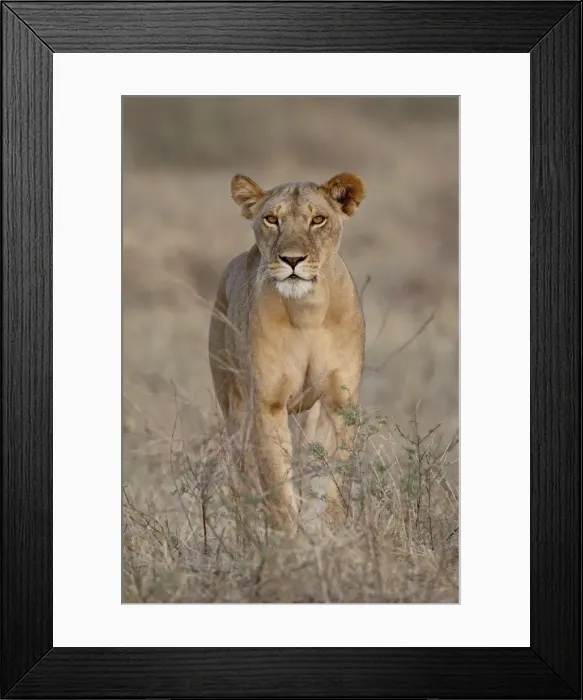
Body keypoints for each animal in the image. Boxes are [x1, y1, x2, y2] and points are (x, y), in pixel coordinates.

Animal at [208, 172, 366, 532]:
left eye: (317, 219)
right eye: (271, 219)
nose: (292, 260)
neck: (308, 310)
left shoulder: (339, 404)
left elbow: (328, 484)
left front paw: (323, 533)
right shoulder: (268, 403)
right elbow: (277, 487)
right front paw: (288, 541)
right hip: (234, 404)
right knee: (244, 474)